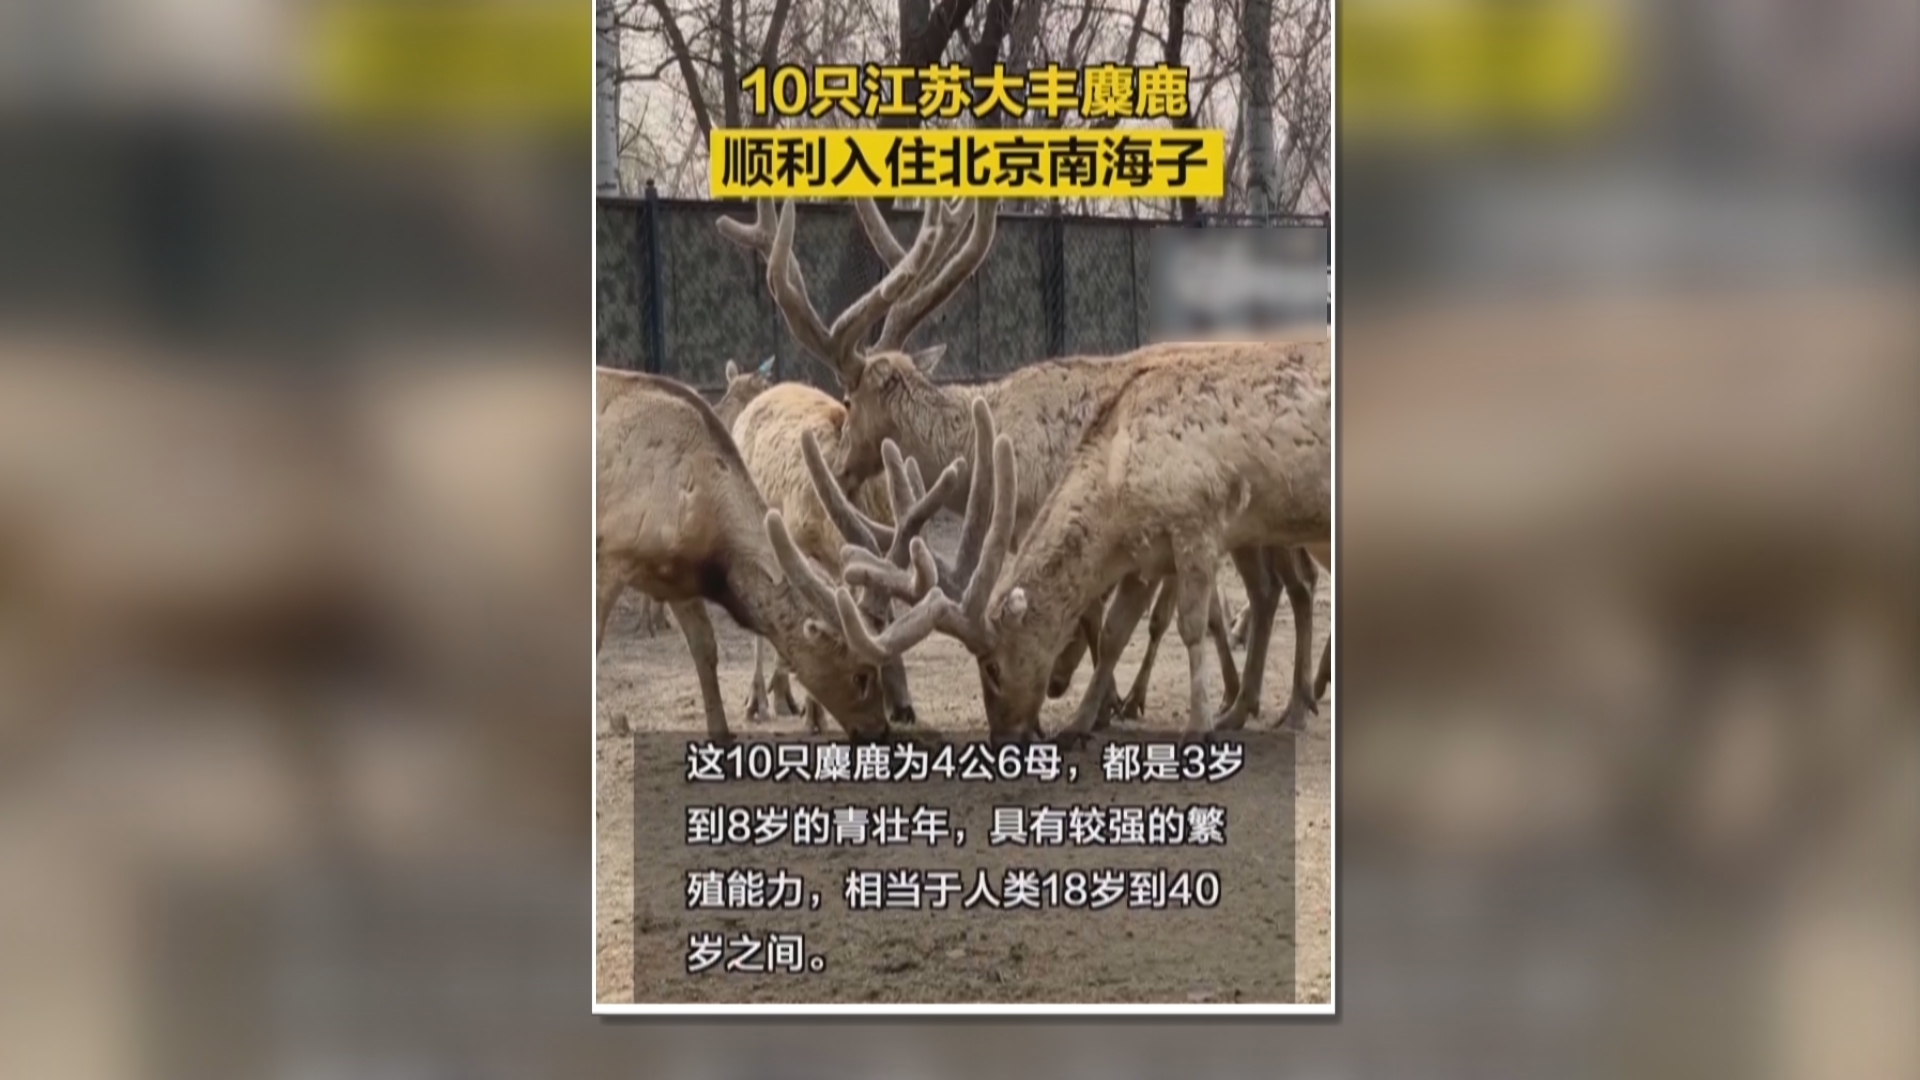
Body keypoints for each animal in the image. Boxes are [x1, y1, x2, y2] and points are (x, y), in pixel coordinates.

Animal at [595, 366, 957, 744]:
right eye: (860, 675)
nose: (879, 731)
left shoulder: (676, 574)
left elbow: (706, 648)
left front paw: (722, 734)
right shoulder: (609, 556)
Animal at [807, 340, 1332, 746]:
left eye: (993, 667)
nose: (1003, 737)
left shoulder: (1195, 524)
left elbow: (1188, 625)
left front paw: (1193, 727)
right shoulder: (1145, 555)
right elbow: (1115, 630)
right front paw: (1082, 721)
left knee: (1292, 587)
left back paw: (1291, 705)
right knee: (1274, 591)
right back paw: (1262, 704)